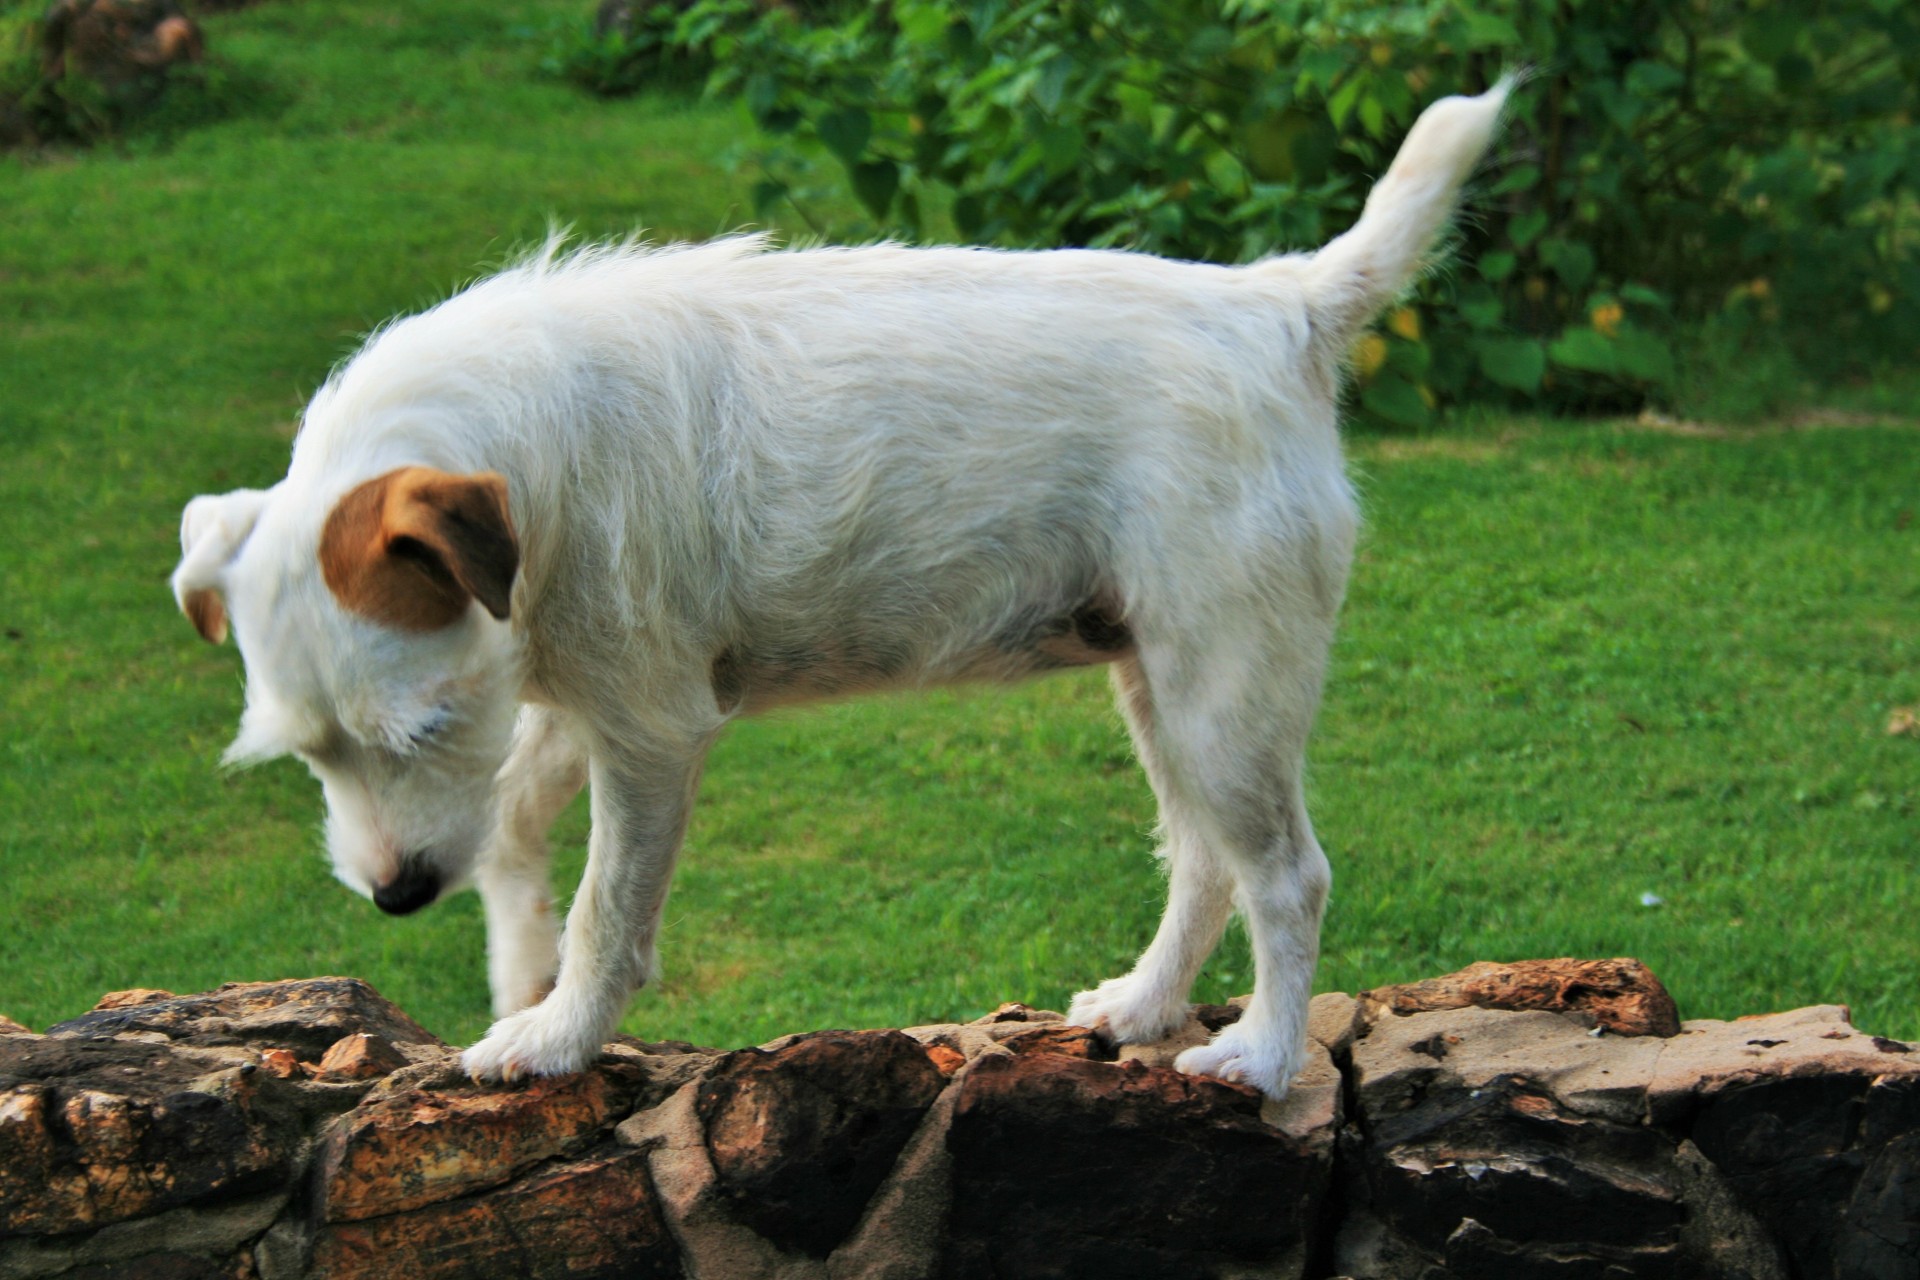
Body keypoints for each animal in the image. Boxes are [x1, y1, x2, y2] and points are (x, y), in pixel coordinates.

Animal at [172, 84, 1505, 1105]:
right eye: (310, 755)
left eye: (424, 728)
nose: (394, 896)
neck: (533, 451)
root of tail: (1279, 304)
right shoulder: (561, 707)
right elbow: (514, 842)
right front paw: (523, 988)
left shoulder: (645, 733)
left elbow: (608, 907)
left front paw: (556, 1035)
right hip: (1159, 683)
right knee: (1203, 857)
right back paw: (1144, 1002)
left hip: (1225, 689)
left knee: (1286, 874)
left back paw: (1266, 1056)